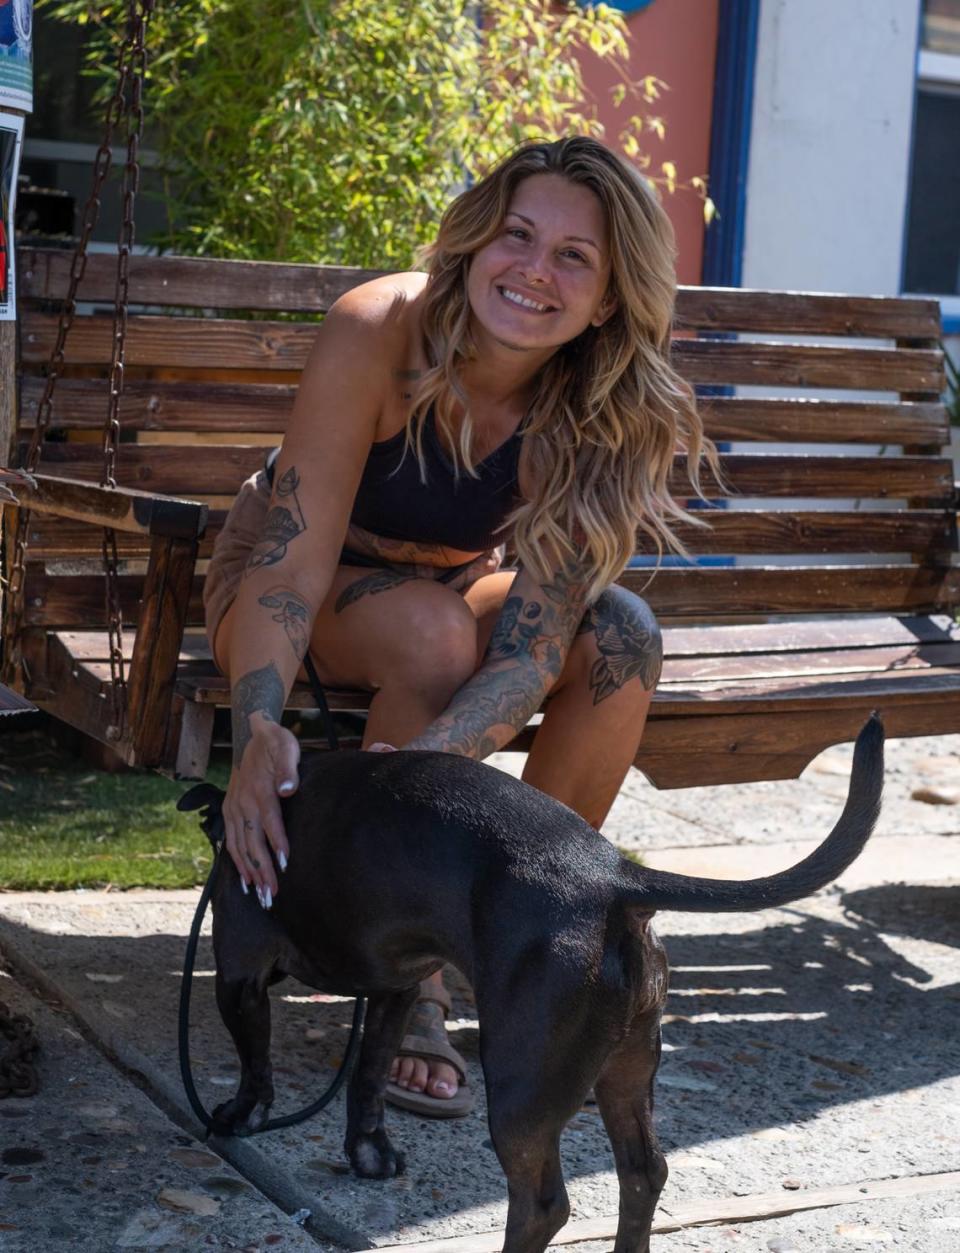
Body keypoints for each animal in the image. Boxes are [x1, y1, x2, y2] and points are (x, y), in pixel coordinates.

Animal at [187, 716, 887, 1253]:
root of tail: (612, 876)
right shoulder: (395, 993)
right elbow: (367, 1079)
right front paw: (368, 1153)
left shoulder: (239, 976)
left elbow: (256, 1064)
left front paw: (243, 1115)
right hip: (627, 1069)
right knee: (644, 1173)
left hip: (520, 1092)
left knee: (543, 1207)